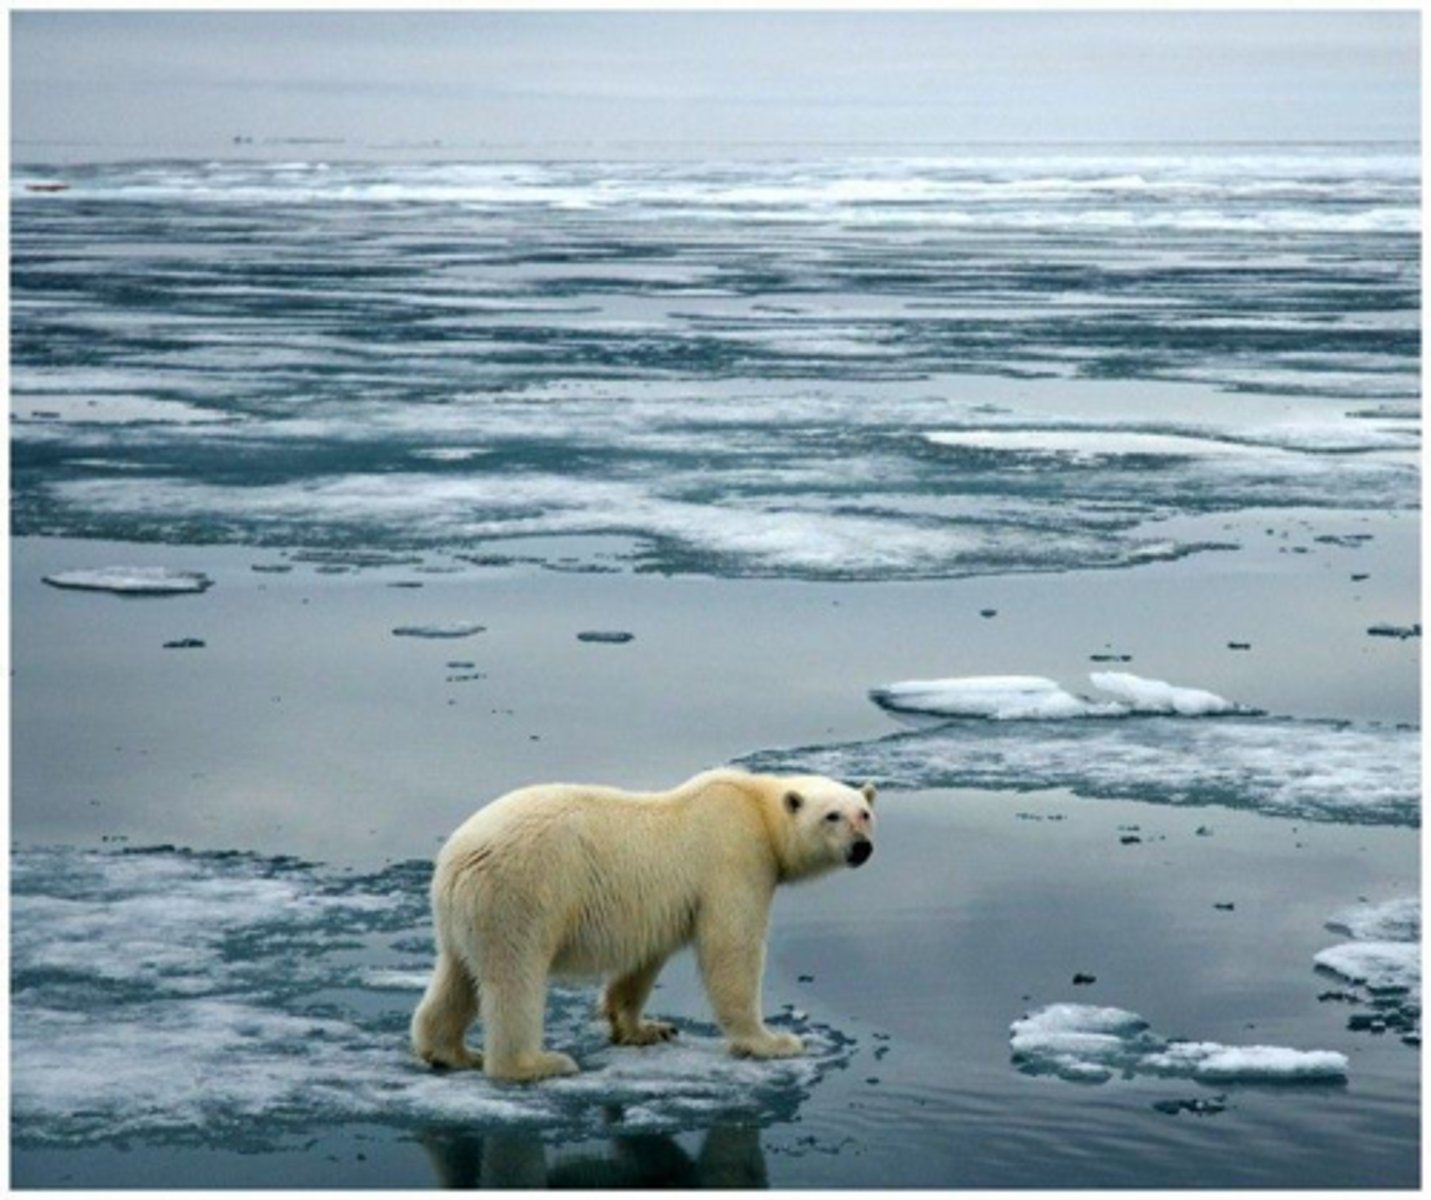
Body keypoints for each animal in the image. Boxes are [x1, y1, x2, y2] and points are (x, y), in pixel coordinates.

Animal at [410, 768, 876, 1082]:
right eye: (832, 816)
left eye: (865, 813)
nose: (862, 848)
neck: (755, 804)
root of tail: (455, 860)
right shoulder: (735, 857)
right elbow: (732, 948)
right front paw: (774, 1042)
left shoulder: (658, 910)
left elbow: (642, 963)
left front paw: (645, 1029)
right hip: (520, 894)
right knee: (514, 979)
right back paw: (537, 1063)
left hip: (467, 915)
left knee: (457, 976)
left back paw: (450, 1052)